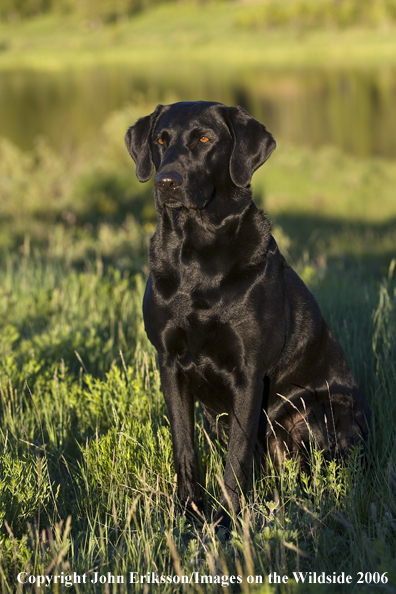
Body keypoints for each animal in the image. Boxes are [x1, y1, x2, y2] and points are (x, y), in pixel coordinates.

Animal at [124, 100, 372, 528]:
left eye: (204, 140)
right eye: (160, 141)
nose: (166, 182)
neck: (196, 253)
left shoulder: (249, 373)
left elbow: (236, 459)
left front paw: (228, 521)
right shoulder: (169, 364)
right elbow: (184, 448)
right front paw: (189, 515)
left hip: (316, 410)